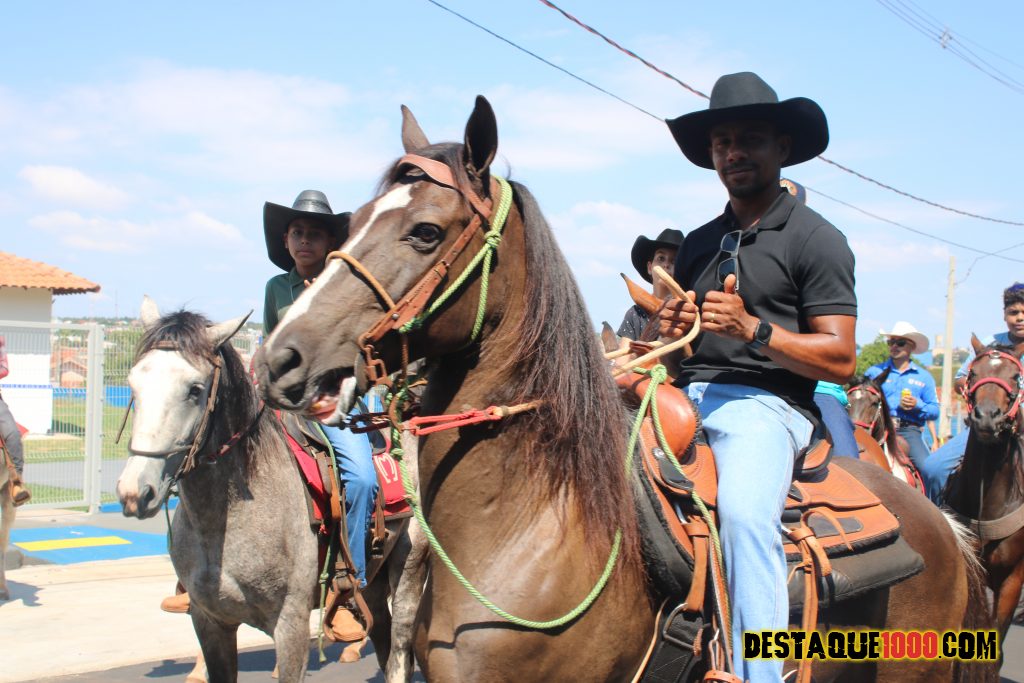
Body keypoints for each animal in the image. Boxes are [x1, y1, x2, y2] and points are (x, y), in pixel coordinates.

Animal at [115, 298, 422, 683]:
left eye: (195, 389)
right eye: (133, 383)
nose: (135, 492)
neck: (226, 522)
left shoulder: (290, 625)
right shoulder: (209, 621)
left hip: (409, 566)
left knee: (399, 650)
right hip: (376, 580)